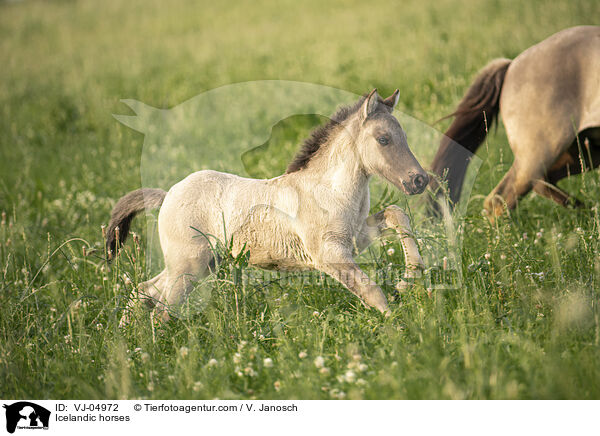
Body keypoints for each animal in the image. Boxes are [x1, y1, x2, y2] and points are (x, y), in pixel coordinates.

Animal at [428, 25, 596, 220]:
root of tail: (511, 65)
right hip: (542, 151)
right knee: (503, 197)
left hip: (582, 150)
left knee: (540, 183)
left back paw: (588, 211)